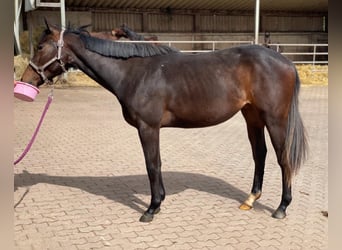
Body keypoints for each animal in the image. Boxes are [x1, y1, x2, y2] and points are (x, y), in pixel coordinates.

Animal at [20, 23, 306, 223]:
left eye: (41, 46)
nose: (27, 80)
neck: (135, 71)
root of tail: (286, 62)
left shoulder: (148, 127)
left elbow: (152, 165)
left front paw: (152, 208)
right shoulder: (151, 129)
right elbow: (156, 163)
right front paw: (159, 202)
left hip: (275, 119)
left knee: (283, 159)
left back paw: (281, 208)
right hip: (252, 115)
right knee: (260, 154)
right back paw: (250, 199)